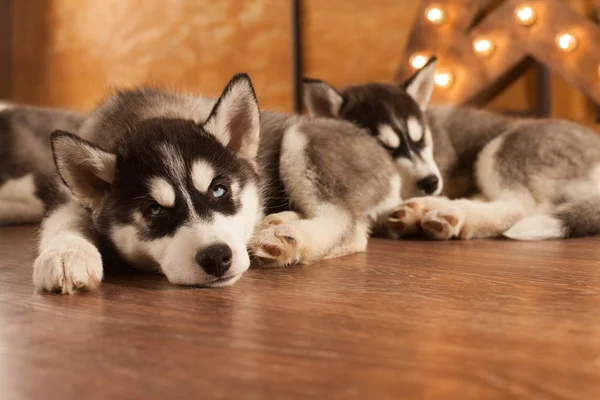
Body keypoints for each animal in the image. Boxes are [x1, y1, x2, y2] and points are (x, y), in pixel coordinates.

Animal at [14, 74, 398, 294]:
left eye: (218, 190)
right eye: (154, 211)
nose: (217, 258)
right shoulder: (67, 198)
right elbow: (63, 220)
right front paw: (66, 254)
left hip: (300, 139)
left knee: (348, 223)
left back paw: (290, 237)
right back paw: (279, 221)